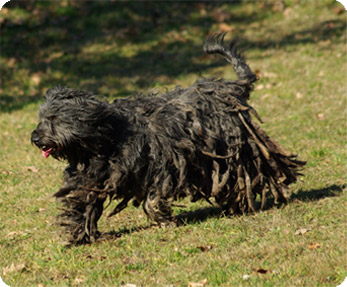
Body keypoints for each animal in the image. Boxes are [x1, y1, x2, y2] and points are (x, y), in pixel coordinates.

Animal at [32, 33, 304, 245]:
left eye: (53, 118)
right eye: (41, 117)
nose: (35, 137)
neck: (106, 138)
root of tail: (230, 87)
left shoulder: (164, 165)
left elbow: (153, 198)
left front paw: (163, 218)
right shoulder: (94, 178)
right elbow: (84, 204)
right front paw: (81, 234)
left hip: (238, 151)